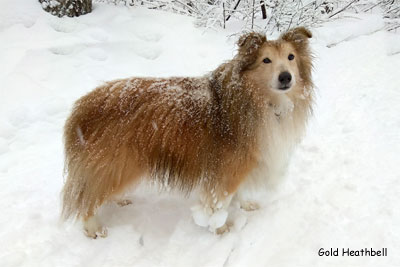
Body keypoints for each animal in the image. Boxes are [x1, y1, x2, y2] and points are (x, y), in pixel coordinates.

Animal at [61, 26, 312, 237]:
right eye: (265, 60)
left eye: (291, 57)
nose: (286, 77)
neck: (255, 99)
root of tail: (82, 106)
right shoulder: (226, 168)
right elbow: (219, 202)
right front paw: (219, 229)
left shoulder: (238, 164)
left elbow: (238, 193)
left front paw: (245, 205)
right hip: (114, 162)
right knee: (87, 197)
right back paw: (93, 228)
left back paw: (119, 200)